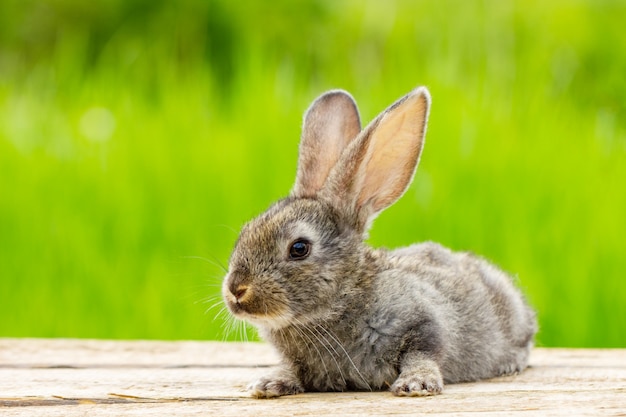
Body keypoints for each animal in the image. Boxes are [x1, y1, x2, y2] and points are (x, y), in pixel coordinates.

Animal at [222, 87, 532, 396]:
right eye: (245, 232)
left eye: (299, 248)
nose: (236, 290)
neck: (345, 296)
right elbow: (293, 368)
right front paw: (269, 383)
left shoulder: (425, 322)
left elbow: (424, 353)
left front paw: (416, 384)